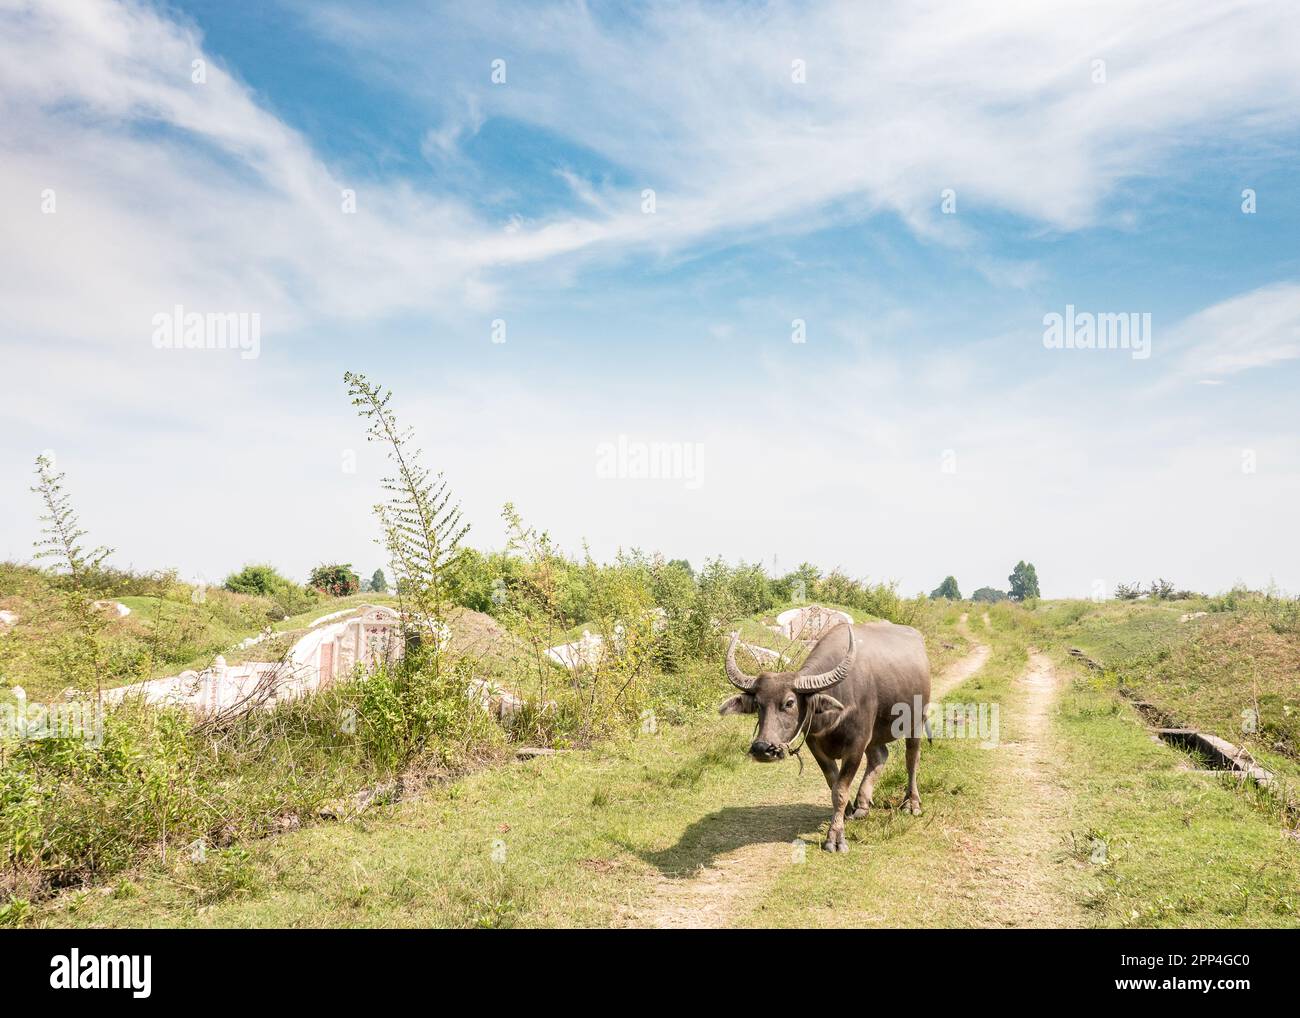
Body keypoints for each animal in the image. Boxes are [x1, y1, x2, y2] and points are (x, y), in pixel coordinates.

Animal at [717, 621, 930, 852]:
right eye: (757, 704)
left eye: (790, 702)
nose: (762, 748)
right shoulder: (816, 744)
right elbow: (832, 782)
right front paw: (846, 813)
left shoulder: (856, 745)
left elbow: (840, 790)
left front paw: (835, 838)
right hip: (875, 735)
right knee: (879, 756)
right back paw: (863, 805)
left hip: (917, 721)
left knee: (912, 759)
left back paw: (911, 803)